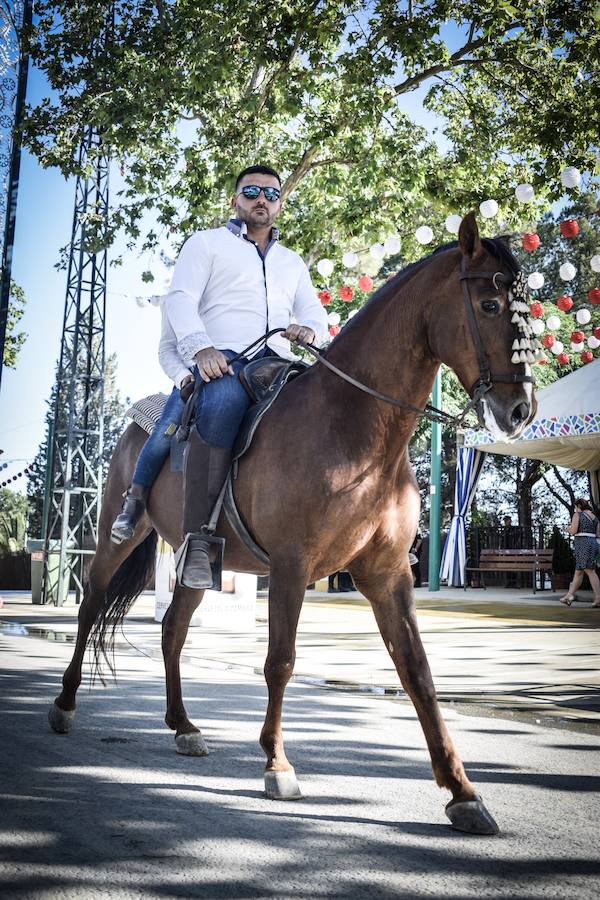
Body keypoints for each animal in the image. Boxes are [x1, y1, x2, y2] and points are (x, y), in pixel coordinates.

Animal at [47, 214, 536, 832]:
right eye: (491, 304)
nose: (520, 409)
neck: (356, 427)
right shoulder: (290, 566)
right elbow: (280, 661)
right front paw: (277, 764)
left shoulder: (387, 575)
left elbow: (418, 673)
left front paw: (462, 792)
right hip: (119, 534)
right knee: (89, 606)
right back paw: (64, 704)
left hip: (197, 560)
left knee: (172, 629)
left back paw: (184, 725)